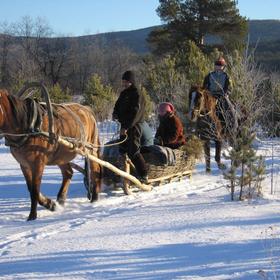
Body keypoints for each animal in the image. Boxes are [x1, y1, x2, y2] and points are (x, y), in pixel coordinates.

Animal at [0, 89, 101, 221]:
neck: (29, 126)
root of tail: (87, 110)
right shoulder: (24, 164)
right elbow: (30, 188)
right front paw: (51, 204)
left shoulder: (38, 163)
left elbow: (35, 189)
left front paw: (32, 216)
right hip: (62, 155)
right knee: (68, 173)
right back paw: (61, 200)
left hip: (90, 148)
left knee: (95, 170)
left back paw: (95, 198)